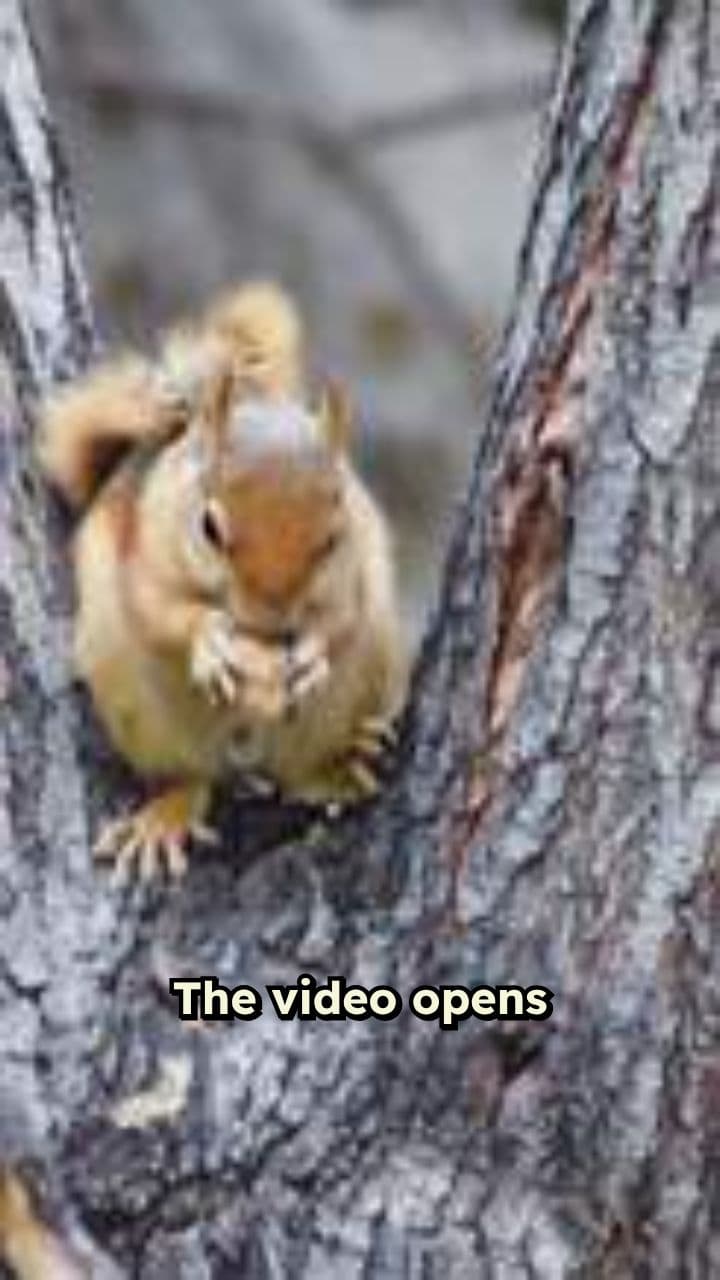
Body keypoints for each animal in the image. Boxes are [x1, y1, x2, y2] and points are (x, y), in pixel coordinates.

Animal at [37, 282, 407, 880]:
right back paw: (167, 816)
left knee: (298, 770)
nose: (271, 618)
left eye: (332, 538)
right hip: (137, 703)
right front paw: (211, 642)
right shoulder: (143, 548)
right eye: (209, 526)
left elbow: (340, 616)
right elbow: (159, 609)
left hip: (365, 668)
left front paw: (312, 653)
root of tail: (246, 749)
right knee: (192, 776)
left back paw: (339, 771)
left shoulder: (357, 563)